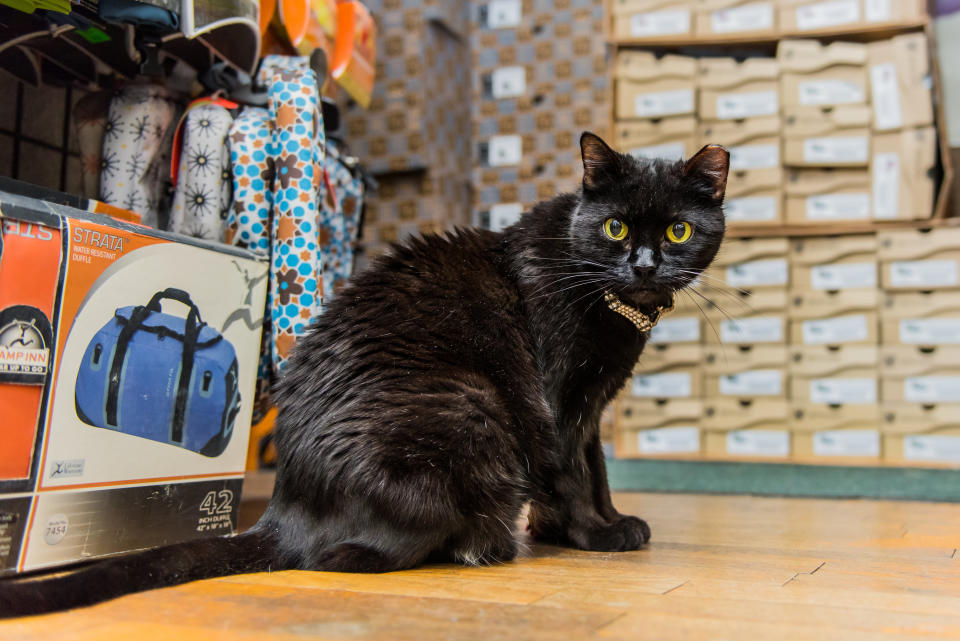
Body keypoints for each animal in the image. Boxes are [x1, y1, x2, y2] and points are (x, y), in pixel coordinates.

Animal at [0, 132, 724, 616]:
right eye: (616, 227)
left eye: (679, 231)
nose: (645, 265)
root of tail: (288, 508)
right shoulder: (557, 401)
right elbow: (572, 474)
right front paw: (597, 535)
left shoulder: (591, 406)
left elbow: (594, 469)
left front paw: (595, 523)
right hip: (474, 402)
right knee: (349, 556)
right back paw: (483, 544)